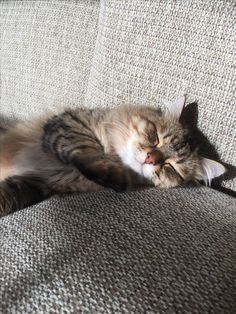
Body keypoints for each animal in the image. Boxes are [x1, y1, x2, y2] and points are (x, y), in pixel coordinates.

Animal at [0, 95, 225, 217]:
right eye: (155, 137)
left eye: (171, 167)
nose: (151, 159)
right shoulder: (67, 125)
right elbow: (87, 151)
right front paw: (114, 176)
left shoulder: (39, 184)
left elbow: (6, 197)